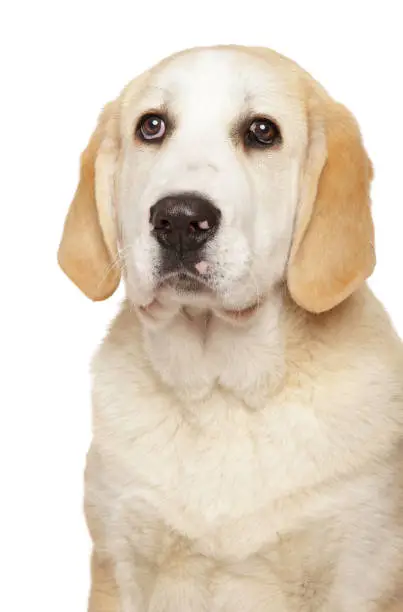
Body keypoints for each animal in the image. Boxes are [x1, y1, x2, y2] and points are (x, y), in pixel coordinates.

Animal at [56, 45, 403, 608]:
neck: (221, 394)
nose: (179, 219)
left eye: (263, 131)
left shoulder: (362, 573)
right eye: (151, 126)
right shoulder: (118, 563)